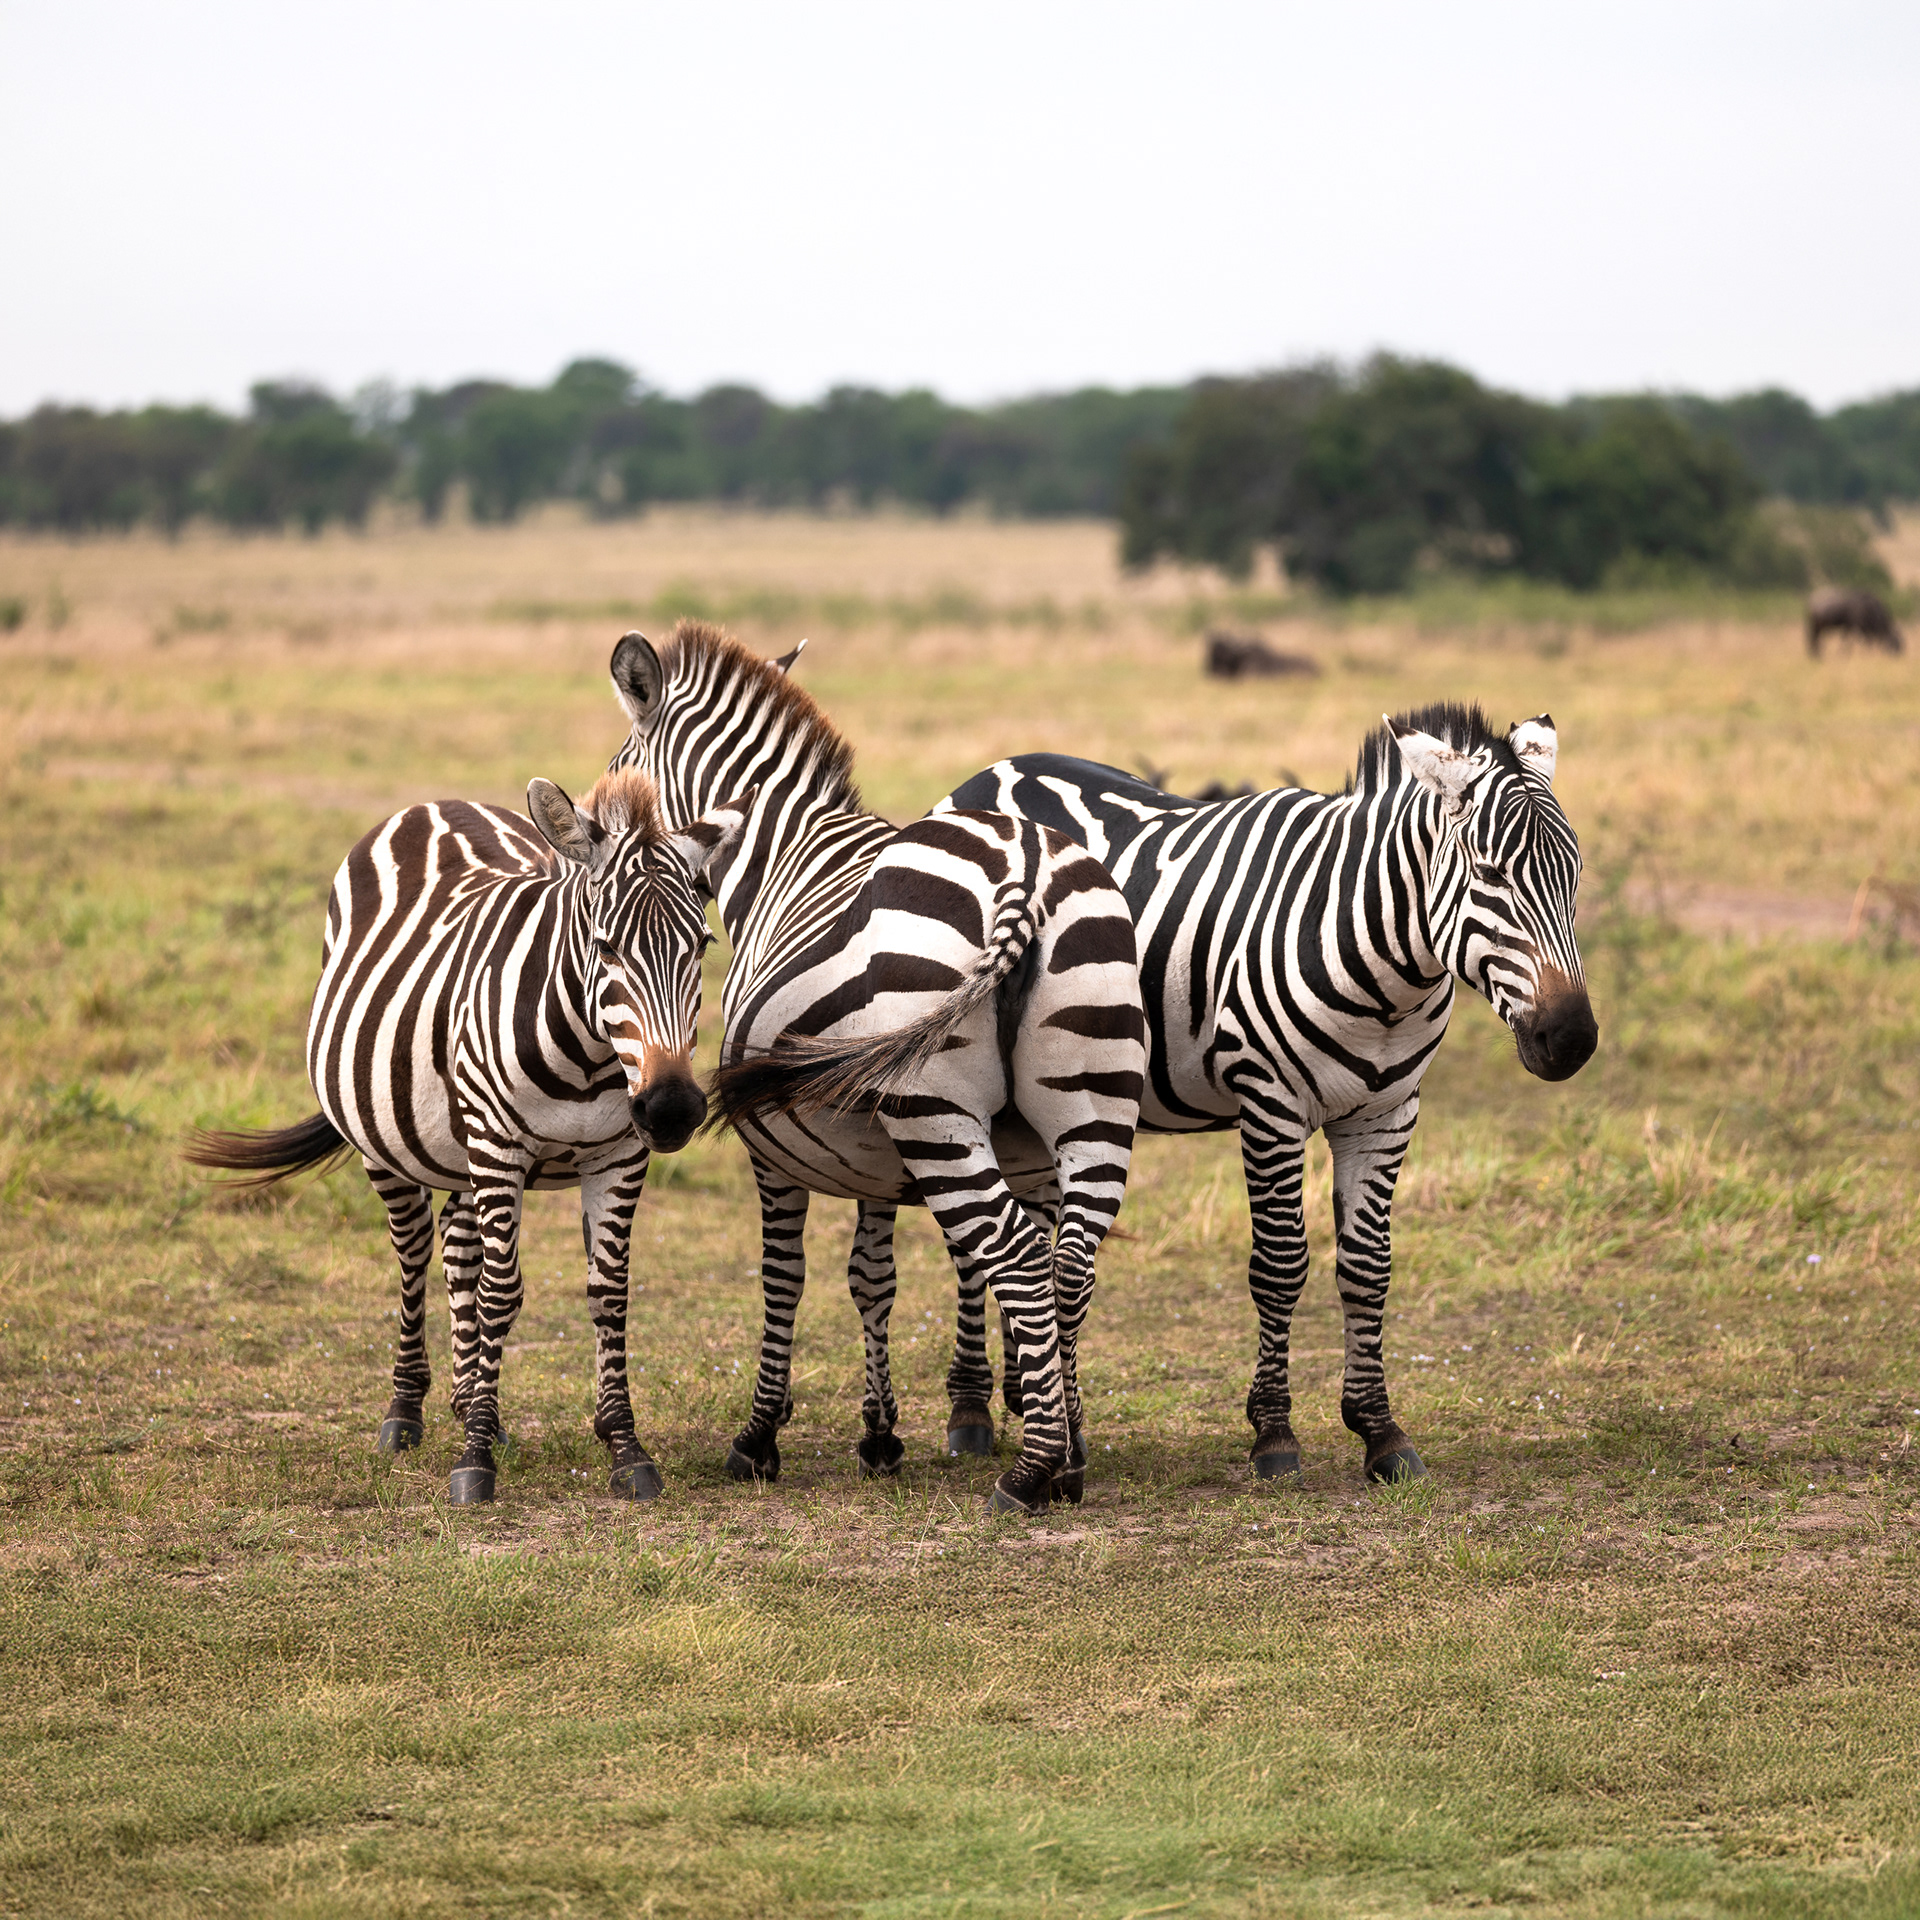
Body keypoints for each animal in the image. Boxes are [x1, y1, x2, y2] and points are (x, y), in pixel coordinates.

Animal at [187, 767, 751, 1505]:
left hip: (461, 1151)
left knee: (458, 1251)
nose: (672, 1108)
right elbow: (501, 1294)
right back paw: (407, 1415)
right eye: (604, 946)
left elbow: (607, 1292)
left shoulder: (618, 1154)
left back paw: (470, 1402)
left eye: (703, 946)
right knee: (415, 1253)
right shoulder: (498, 1144)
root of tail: (437, 802)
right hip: (394, 1145)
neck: (589, 1054)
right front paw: (474, 1459)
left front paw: (624, 1446)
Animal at [603, 620, 1147, 1516]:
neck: (779, 852)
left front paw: (759, 1438)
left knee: (1020, 1259)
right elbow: (872, 1277)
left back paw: (1028, 1474)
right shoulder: (881, 1154)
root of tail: (1026, 866)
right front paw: (882, 1436)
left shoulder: (773, 1143)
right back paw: (1068, 1461)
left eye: (622, 769)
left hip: (937, 1112)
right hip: (1089, 1102)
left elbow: (784, 1279)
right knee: (1068, 1265)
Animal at [923, 707, 1599, 1482]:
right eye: (1489, 874)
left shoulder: (1387, 1113)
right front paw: (1274, 1433)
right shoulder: (1270, 1103)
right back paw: (971, 1411)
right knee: (969, 1246)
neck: (1385, 969)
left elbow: (1368, 1267)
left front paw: (1379, 1430)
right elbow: (1279, 1265)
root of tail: (989, 772)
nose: (1572, 1039)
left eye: (1575, 873)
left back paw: (1023, 1397)